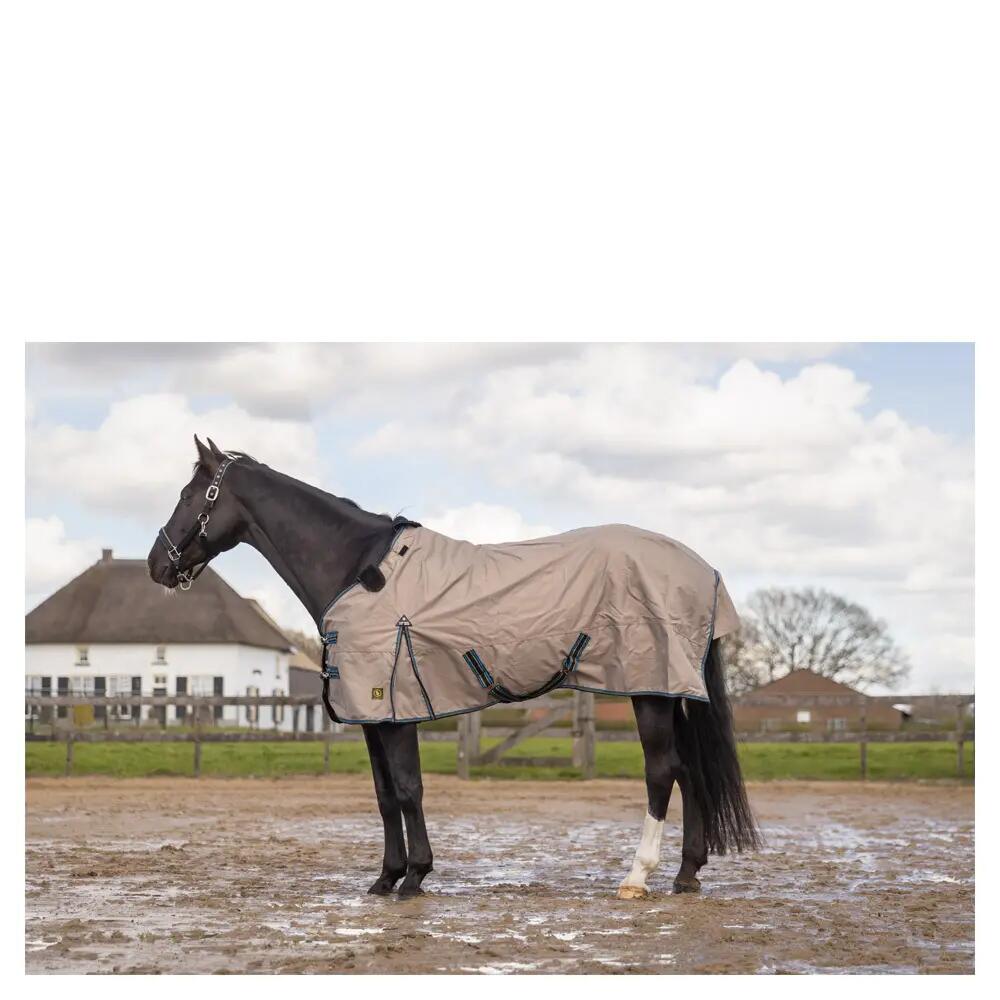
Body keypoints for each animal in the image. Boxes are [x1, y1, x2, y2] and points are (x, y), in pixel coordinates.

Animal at [147, 437, 760, 899]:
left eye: (190, 494)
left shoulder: (393, 710)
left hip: (649, 690)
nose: (157, 564)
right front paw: (386, 878)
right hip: (667, 689)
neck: (357, 568)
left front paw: (414, 878)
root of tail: (701, 568)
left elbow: (408, 788)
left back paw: (637, 877)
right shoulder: (372, 716)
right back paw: (686, 874)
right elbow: (384, 794)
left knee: (663, 771)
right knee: (691, 771)